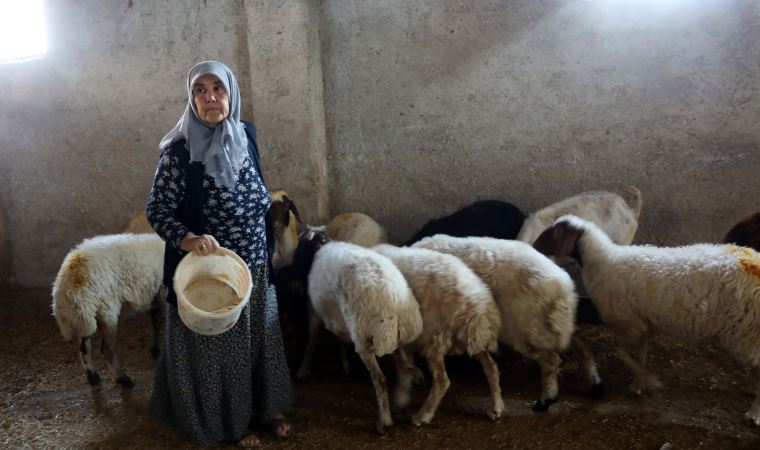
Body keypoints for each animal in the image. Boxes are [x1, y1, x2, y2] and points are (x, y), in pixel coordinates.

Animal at [51, 232, 164, 386]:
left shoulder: (155, 299)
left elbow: (156, 323)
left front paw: (156, 349)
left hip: (83, 318)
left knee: (84, 349)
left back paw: (93, 377)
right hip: (106, 311)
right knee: (106, 348)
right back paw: (122, 378)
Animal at [294, 230, 422, 434]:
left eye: (300, 245)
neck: (321, 245)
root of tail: (395, 305)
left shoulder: (315, 311)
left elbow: (311, 343)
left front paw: (301, 371)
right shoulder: (337, 318)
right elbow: (338, 340)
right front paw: (344, 365)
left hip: (364, 338)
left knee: (380, 380)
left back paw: (384, 421)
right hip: (397, 341)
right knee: (406, 368)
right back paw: (400, 401)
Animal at [370, 244, 502, 424]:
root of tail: (477, 309)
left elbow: (402, 366)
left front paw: (400, 398)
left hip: (437, 337)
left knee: (442, 381)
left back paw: (422, 415)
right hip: (472, 340)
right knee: (491, 367)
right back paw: (495, 407)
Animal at [412, 236, 604, 412]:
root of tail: (563, 290)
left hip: (526, 329)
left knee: (551, 362)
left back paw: (546, 400)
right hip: (550, 328)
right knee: (581, 349)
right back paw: (595, 384)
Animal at [532, 214, 760, 426]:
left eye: (554, 232)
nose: (534, 246)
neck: (603, 263)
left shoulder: (631, 323)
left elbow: (622, 353)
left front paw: (647, 380)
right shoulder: (643, 324)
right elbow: (640, 355)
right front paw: (638, 385)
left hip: (746, 332)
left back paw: (754, 414)